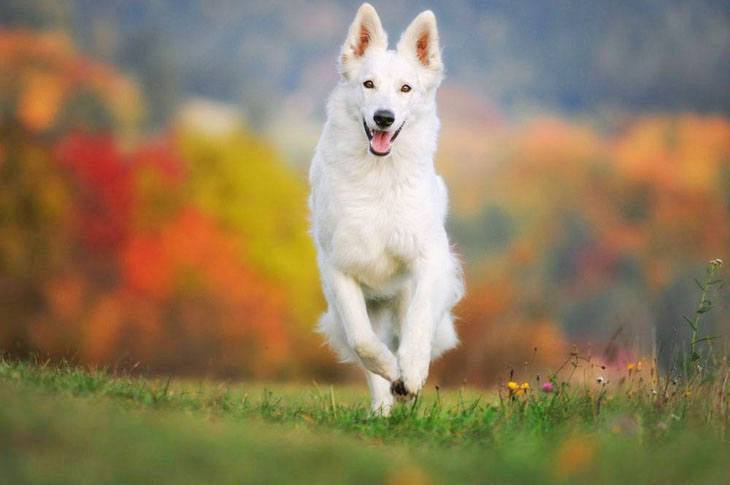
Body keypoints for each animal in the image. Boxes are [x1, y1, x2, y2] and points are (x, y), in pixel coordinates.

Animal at [308, 2, 460, 412]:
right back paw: (382, 409)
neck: (379, 178)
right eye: (368, 84)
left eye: (406, 88)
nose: (384, 118)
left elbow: (418, 326)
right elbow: (364, 343)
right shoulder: (340, 270)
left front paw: (411, 372)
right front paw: (392, 372)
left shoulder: (427, 259)